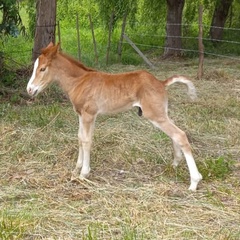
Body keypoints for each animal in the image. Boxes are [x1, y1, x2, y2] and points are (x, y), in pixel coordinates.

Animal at [26, 42, 202, 190]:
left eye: (42, 69)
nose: (29, 90)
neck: (80, 81)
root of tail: (160, 82)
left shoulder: (89, 115)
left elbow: (86, 141)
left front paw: (83, 174)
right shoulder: (82, 115)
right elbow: (80, 138)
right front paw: (76, 169)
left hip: (155, 114)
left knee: (180, 135)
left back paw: (194, 182)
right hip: (160, 113)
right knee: (174, 133)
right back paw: (175, 163)